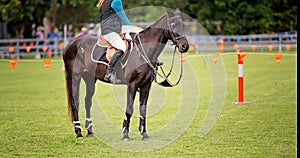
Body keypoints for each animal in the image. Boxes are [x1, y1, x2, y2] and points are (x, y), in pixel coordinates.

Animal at [62, 8, 190, 140]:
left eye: (183, 25)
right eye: (173, 25)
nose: (185, 46)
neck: (143, 51)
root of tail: (71, 43)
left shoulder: (146, 86)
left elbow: (143, 109)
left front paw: (144, 134)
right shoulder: (132, 85)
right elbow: (129, 109)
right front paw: (125, 134)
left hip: (90, 79)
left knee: (88, 101)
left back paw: (90, 131)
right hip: (75, 77)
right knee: (75, 103)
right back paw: (78, 132)